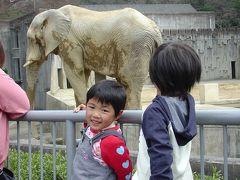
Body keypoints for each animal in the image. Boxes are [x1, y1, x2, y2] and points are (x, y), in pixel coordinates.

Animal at [24, 4, 162, 109]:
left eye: (31, 39)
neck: (54, 12)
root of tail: (156, 30)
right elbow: (83, 73)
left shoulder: (70, 42)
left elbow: (75, 71)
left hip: (134, 46)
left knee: (128, 81)